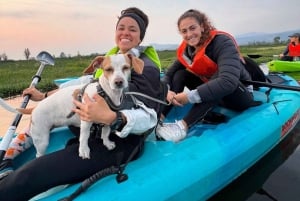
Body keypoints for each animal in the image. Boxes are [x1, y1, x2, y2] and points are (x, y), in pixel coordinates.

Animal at [16, 53, 145, 159]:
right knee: (38, 154)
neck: (105, 93)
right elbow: (84, 136)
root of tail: (34, 108)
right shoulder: (86, 120)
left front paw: (107, 143)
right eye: (108, 69)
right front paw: (83, 150)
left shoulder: (107, 119)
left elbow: (105, 132)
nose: (118, 82)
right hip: (41, 140)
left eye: (126, 67)